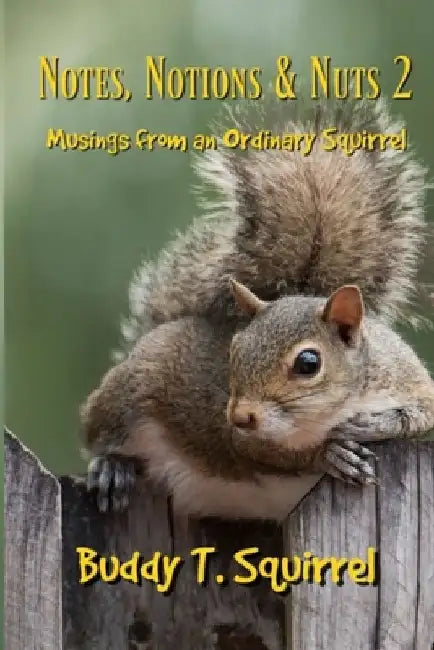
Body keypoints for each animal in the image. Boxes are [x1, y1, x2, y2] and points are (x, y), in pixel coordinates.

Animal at [81, 96, 434, 520]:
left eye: (309, 363)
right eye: (233, 351)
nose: (239, 416)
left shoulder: (406, 374)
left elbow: (424, 412)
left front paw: (377, 423)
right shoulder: (241, 439)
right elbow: (261, 452)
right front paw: (328, 454)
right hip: (127, 391)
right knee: (100, 434)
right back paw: (110, 468)